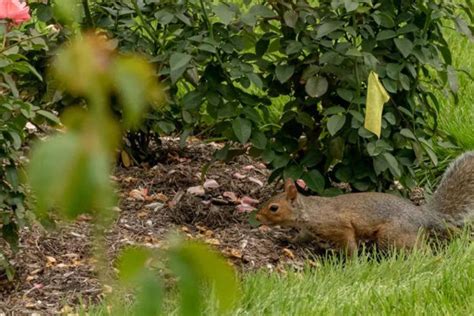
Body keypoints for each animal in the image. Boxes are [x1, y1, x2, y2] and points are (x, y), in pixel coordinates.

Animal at [258, 152, 472, 256]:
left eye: (274, 208)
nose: (257, 217)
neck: (308, 212)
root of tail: (422, 215)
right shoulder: (308, 230)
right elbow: (301, 238)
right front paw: (288, 240)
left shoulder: (338, 226)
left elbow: (348, 242)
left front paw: (351, 263)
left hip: (393, 233)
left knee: (420, 248)